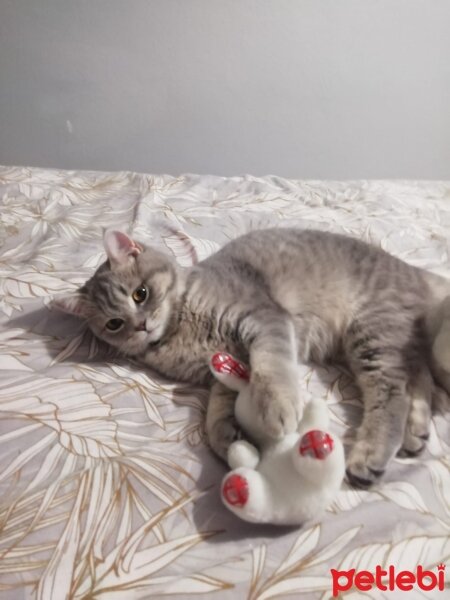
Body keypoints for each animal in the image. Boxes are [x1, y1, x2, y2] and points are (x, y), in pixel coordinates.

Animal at [53, 230, 450, 488]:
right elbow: (216, 410)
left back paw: (371, 455)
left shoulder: (265, 321)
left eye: (141, 294)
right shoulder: (223, 368)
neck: (180, 328)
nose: (140, 326)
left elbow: (273, 369)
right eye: (113, 324)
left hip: (371, 332)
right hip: (387, 340)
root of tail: (413, 272)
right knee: (417, 379)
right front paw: (227, 437)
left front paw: (278, 409)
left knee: (394, 394)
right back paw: (416, 430)